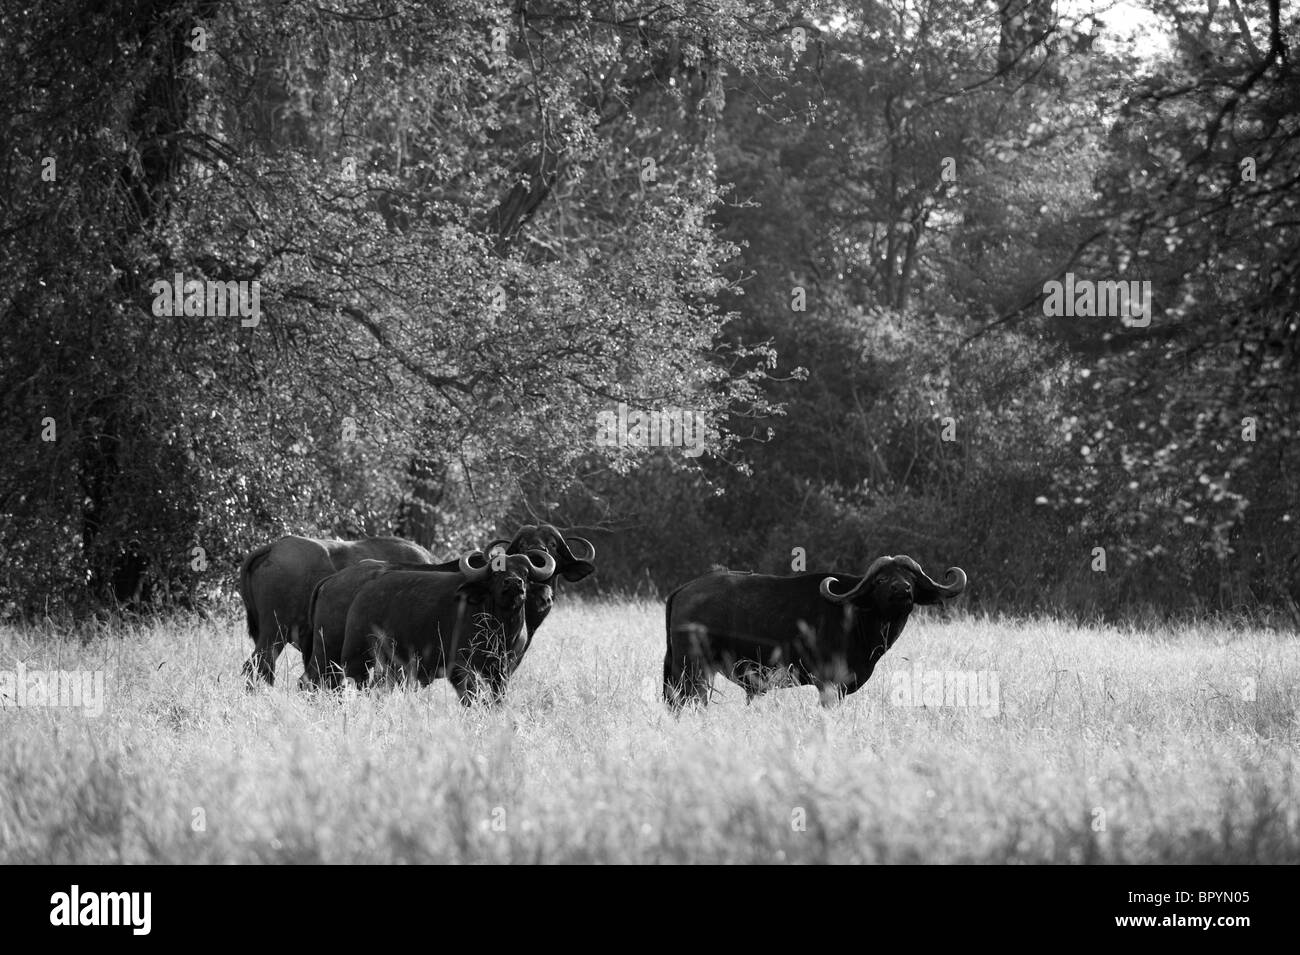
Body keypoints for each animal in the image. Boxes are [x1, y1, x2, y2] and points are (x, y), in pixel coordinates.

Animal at [335, 545, 553, 701]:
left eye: (525, 573)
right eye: (496, 573)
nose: (514, 583)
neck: (501, 629)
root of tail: (364, 592)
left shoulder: (502, 670)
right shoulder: (462, 669)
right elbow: (472, 698)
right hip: (357, 660)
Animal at [670, 556, 967, 706]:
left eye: (911, 579)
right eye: (881, 579)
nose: (902, 589)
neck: (857, 616)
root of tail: (684, 589)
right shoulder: (829, 684)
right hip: (693, 670)